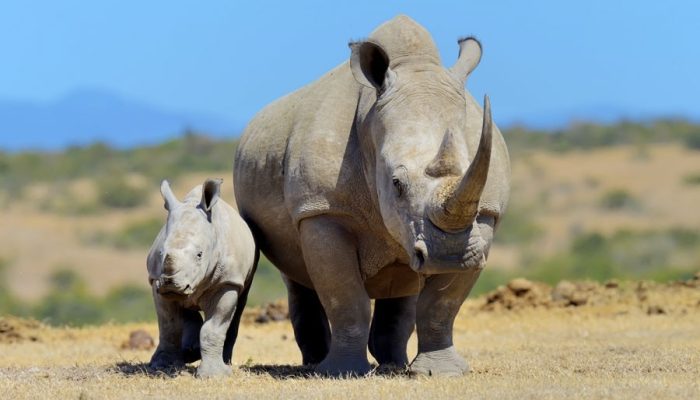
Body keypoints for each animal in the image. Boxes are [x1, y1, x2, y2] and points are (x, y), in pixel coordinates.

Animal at [147, 179, 257, 378]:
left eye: (199, 255)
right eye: (160, 253)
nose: (170, 284)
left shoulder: (227, 281)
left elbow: (213, 327)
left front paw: (214, 375)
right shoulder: (155, 280)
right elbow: (169, 326)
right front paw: (163, 367)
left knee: (238, 308)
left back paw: (224, 362)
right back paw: (190, 352)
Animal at [234, 15, 510, 376]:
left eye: (475, 171)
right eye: (396, 183)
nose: (448, 255)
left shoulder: (485, 215)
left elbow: (441, 305)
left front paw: (440, 372)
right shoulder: (323, 209)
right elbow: (346, 298)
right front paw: (341, 372)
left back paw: (394, 364)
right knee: (297, 276)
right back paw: (316, 365)